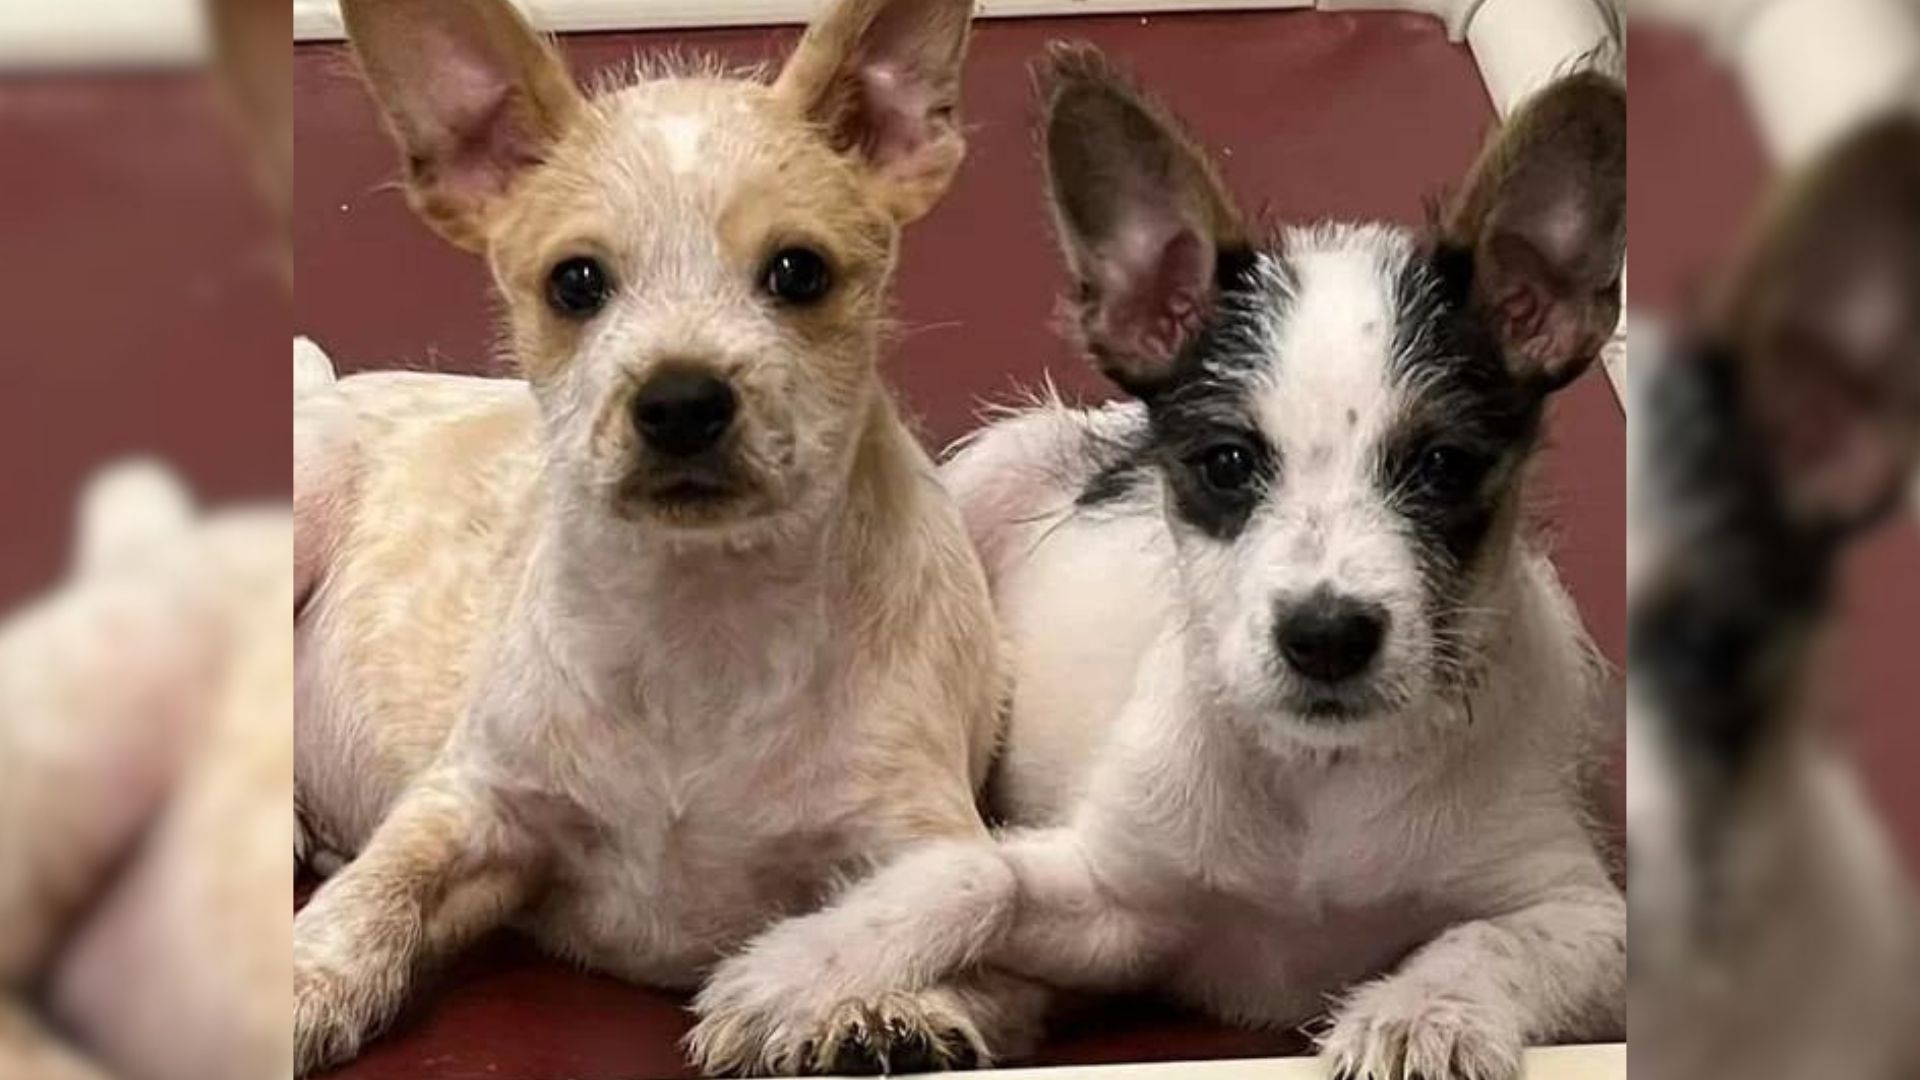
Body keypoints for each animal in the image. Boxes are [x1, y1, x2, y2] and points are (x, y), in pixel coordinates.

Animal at [289, 0, 1006, 1068]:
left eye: (798, 272)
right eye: (576, 283)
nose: (680, 401)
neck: (697, 616)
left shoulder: (924, 831)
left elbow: (953, 912)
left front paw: (862, 1005)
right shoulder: (471, 801)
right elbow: (374, 893)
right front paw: (301, 979)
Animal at [687, 46, 1620, 1068]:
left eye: (1445, 466)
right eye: (1227, 463)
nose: (1327, 637)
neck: (1317, 781)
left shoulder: (1587, 915)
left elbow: (1485, 941)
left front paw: (1423, 1014)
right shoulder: (1116, 902)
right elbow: (974, 873)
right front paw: (804, 967)